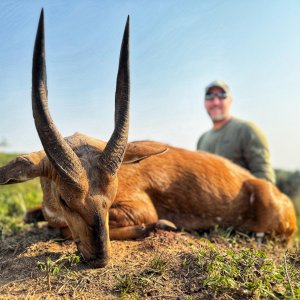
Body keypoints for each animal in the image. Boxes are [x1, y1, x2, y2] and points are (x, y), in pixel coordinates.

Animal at [0, 10, 296, 268]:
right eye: (64, 199)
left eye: (112, 195)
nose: (99, 258)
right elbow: (34, 215)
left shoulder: (140, 207)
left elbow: (61, 228)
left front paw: (160, 225)